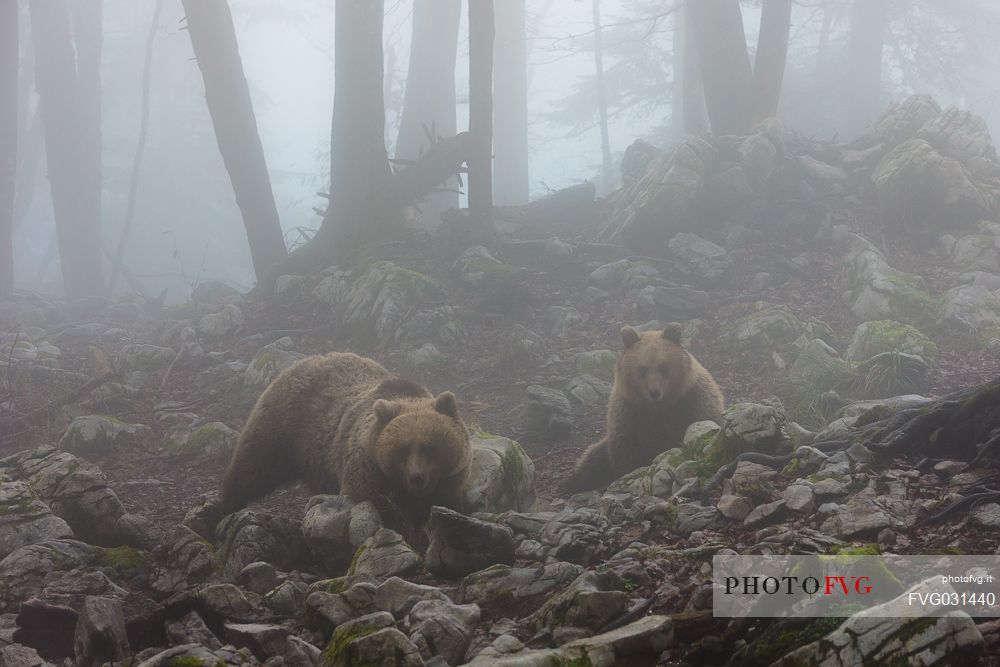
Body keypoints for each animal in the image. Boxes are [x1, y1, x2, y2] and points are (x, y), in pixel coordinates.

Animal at [221, 352, 470, 536]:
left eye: (430, 447)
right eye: (403, 450)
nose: (417, 477)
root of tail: (307, 360)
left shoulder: (448, 482)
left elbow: (440, 509)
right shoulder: (370, 474)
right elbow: (380, 509)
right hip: (283, 424)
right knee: (254, 464)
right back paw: (227, 505)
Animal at [568, 324, 724, 496]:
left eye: (663, 366)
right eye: (643, 369)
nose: (654, 392)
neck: (658, 407)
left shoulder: (691, 402)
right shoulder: (630, 412)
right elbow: (625, 452)